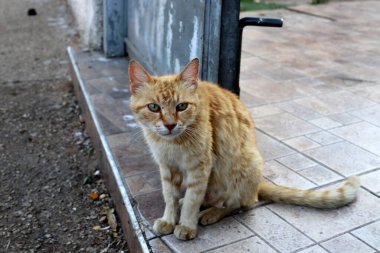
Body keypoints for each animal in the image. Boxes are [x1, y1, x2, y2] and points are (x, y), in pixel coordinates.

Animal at [127, 58, 360, 240]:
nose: (169, 125)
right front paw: (169, 218)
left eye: (181, 106)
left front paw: (186, 225)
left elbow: (193, 199)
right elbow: (170, 196)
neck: (172, 144)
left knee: (239, 203)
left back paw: (210, 213)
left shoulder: (200, 168)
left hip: (242, 168)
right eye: (154, 107)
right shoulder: (167, 168)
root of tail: (258, 184)